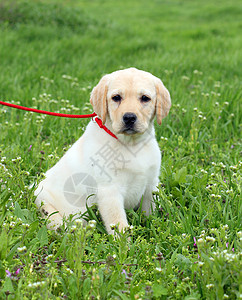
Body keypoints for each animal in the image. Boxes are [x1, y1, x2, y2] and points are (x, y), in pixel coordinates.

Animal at [35, 67, 171, 233]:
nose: (129, 117)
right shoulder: (109, 191)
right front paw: (124, 240)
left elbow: (150, 211)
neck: (131, 144)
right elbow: (118, 223)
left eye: (145, 98)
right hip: (45, 204)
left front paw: (153, 226)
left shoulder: (151, 183)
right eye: (116, 97)